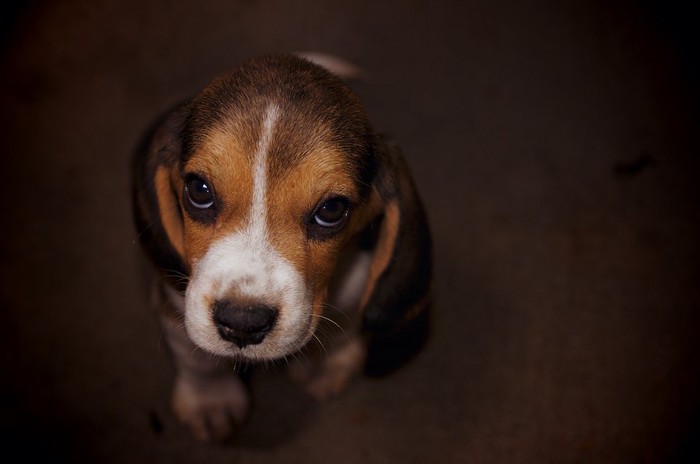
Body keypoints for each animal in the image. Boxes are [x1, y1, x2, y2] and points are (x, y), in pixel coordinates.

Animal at [129, 52, 430, 440]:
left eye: (332, 210)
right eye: (198, 190)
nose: (242, 323)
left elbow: (345, 322)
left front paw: (326, 363)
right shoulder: (179, 301)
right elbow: (197, 359)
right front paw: (210, 401)